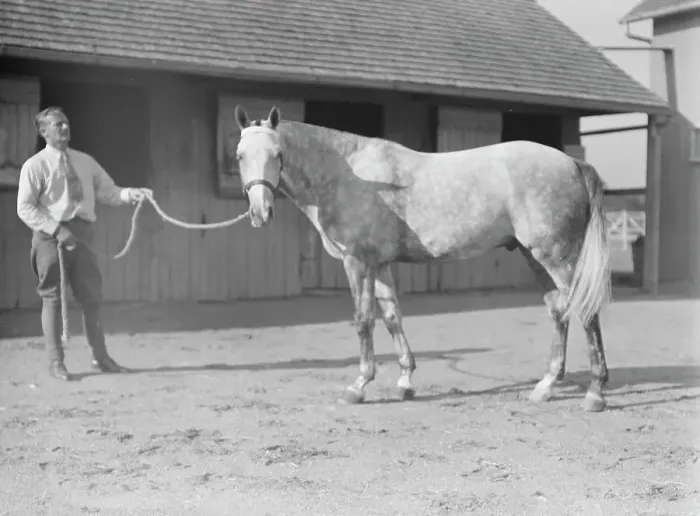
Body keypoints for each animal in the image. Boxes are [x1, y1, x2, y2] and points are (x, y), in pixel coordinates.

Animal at [233, 104, 612, 412]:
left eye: (278, 153)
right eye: (239, 155)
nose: (260, 212)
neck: (350, 175)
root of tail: (572, 163)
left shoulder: (358, 262)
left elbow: (363, 320)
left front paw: (359, 386)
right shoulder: (381, 265)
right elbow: (392, 317)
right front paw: (405, 381)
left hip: (559, 257)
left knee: (585, 311)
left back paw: (595, 393)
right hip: (535, 257)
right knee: (559, 312)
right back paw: (546, 387)